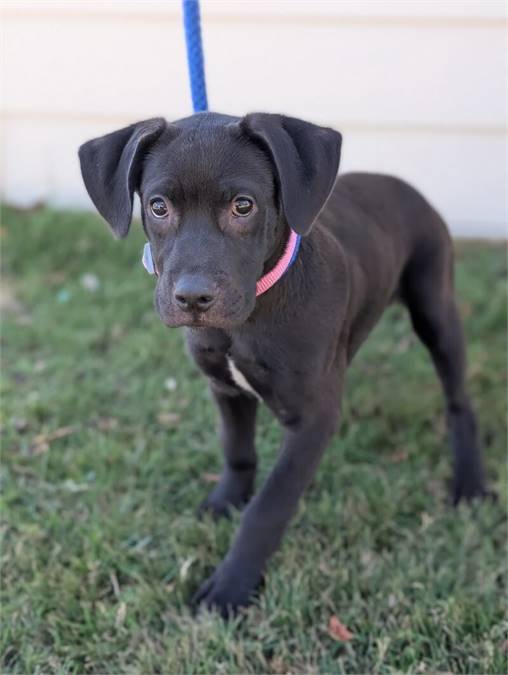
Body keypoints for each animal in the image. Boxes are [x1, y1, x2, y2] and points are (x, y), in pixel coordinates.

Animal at [78, 112, 488, 616]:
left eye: (243, 206)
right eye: (157, 207)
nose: (193, 298)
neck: (252, 315)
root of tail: (403, 184)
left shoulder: (313, 420)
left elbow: (269, 507)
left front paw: (231, 585)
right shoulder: (226, 389)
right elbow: (237, 452)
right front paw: (225, 503)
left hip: (435, 308)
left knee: (459, 398)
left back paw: (469, 480)